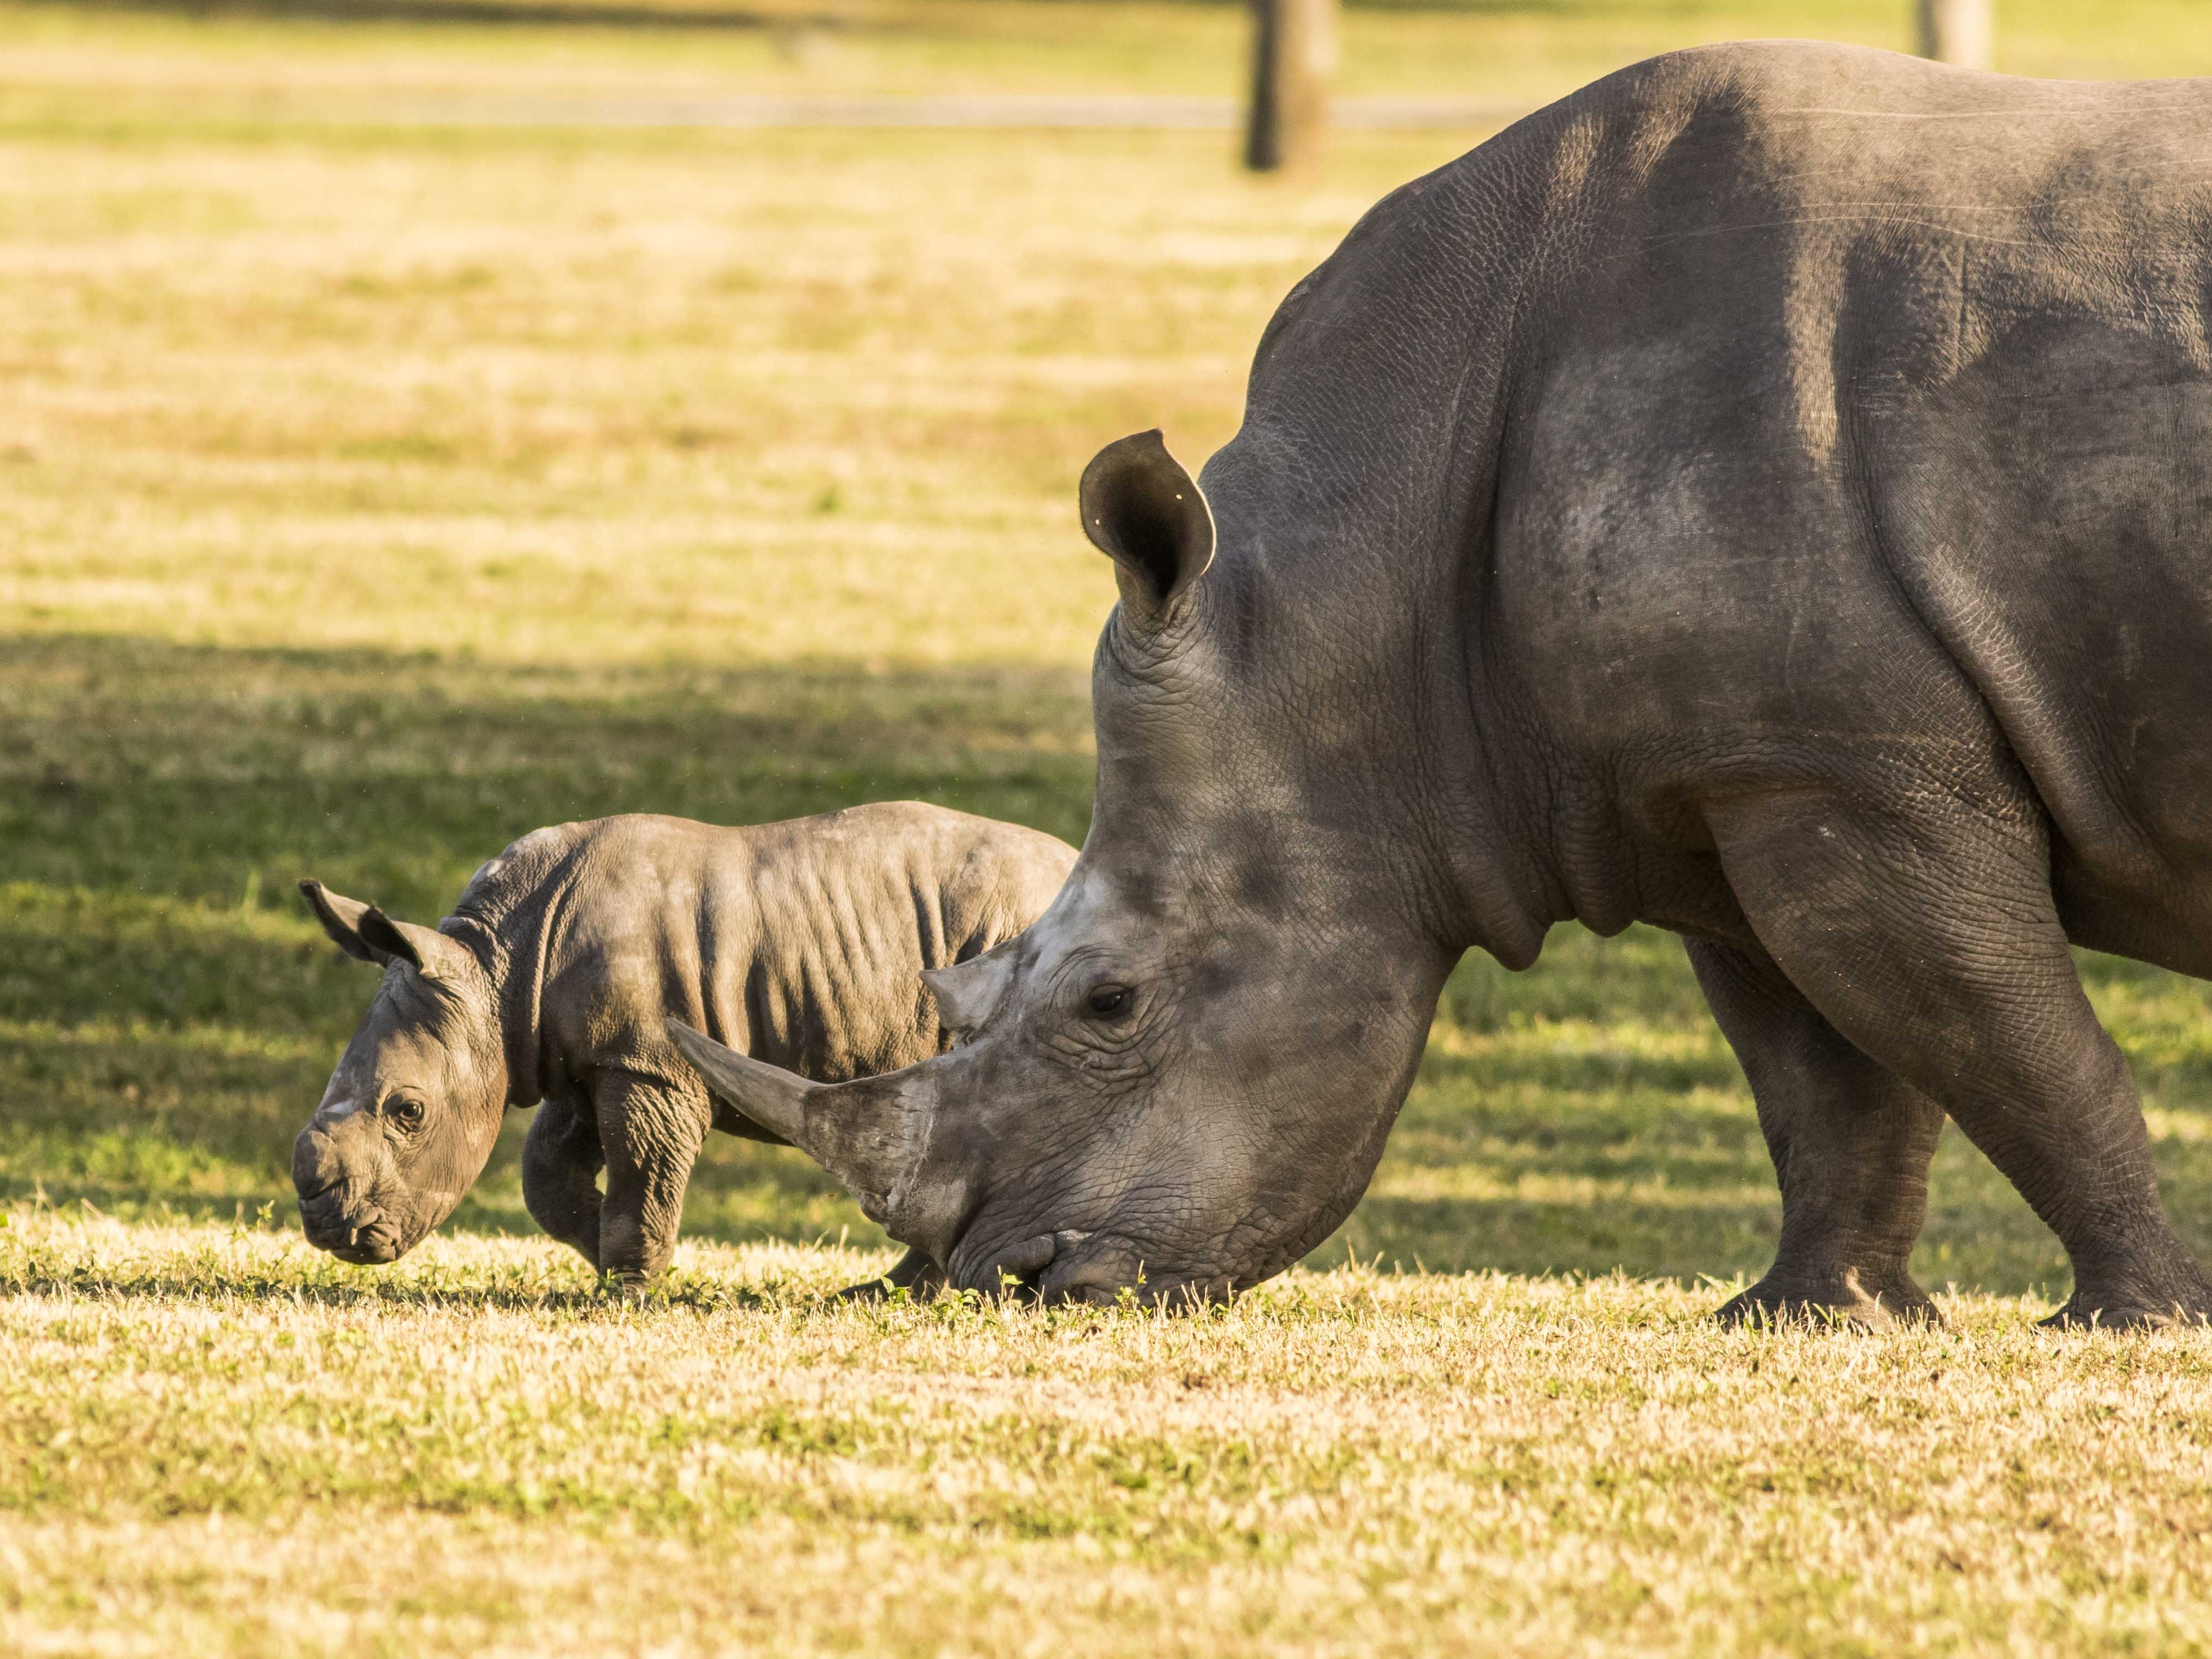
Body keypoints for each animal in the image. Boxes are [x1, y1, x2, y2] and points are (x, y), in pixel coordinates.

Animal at [291, 803, 1075, 1284]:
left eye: (409, 1112)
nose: (326, 1227)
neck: (498, 968)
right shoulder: (589, 1056)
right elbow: (547, 1176)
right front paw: (603, 1256)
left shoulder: (650, 1066)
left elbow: (644, 1172)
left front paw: (628, 1287)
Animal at [670, 41, 2212, 1328]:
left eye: (1109, 1001)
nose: (1017, 1277)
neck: (1356, 603)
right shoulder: (1734, 773)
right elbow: (1833, 1079)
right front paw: (1809, 1318)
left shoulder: (1846, 764)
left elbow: (2012, 1045)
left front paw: (2134, 1322)